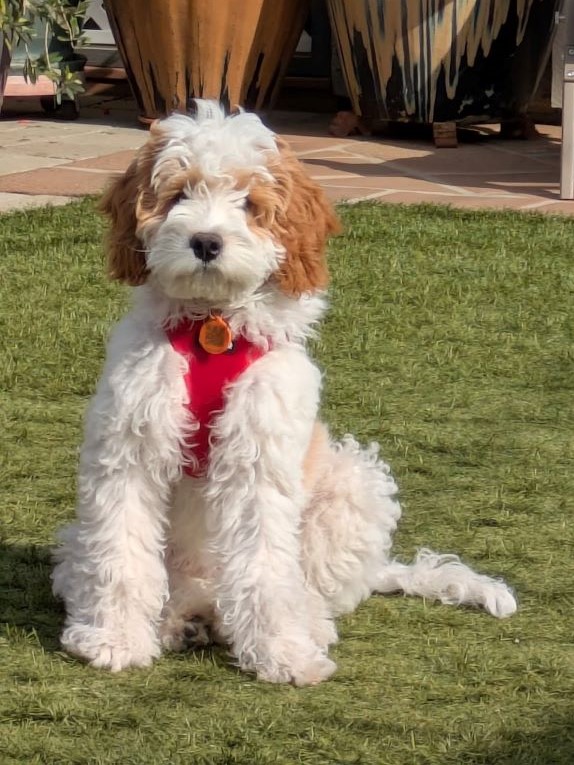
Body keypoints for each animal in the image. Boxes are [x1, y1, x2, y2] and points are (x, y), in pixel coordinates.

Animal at [53, 101, 516, 688]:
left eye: (250, 204)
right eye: (179, 194)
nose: (206, 242)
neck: (213, 328)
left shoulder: (259, 462)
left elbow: (264, 568)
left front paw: (282, 654)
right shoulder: (129, 450)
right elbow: (121, 552)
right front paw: (113, 639)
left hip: (351, 485)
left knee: (313, 590)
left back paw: (292, 625)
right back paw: (181, 620)